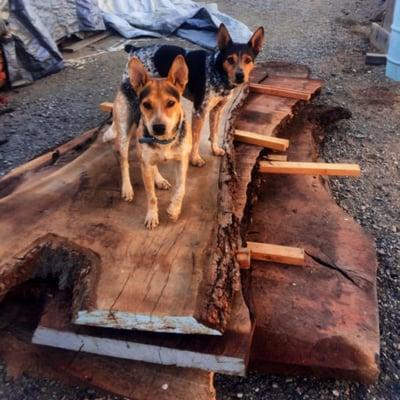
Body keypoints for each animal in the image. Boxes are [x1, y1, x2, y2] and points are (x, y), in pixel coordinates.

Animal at [105, 54, 191, 228]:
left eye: (171, 103)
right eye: (146, 104)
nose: (158, 128)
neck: (164, 141)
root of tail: (127, 80)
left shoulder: (182, 160)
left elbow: (181, 188)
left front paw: (174, 210)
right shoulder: (145, 162)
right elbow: (151, 197)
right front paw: (152, 216)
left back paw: (159, 179)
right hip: (124, 134)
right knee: (124, 162)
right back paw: (127, 188)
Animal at [123, 23, 264, 167]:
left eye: (248, 60)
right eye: (230, 59)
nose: (240, 76)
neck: (217, 70)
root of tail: (134, 49)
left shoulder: (217, 110)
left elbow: (214, 132)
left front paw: (215, 149)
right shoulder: (199, 111)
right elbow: (196, 138)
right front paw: (195, 158)